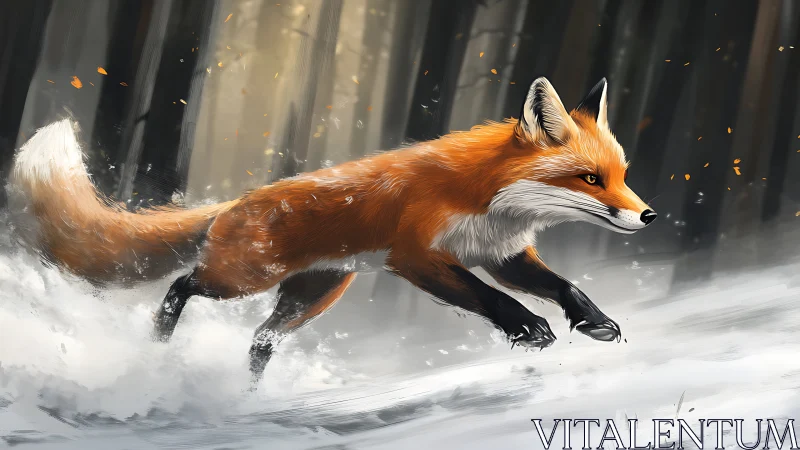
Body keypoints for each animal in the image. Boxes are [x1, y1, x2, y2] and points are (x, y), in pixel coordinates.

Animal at [7, 77, 655, 383]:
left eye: (622, 175)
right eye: (590, 178)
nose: (647, 215)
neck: (492, 200)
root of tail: (233, 203)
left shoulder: (502, 253)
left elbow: (564, 285)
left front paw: (592, 320)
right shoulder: (416, 255)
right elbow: (486, 297)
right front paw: (526, 328)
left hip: (312, 297)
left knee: (260, 340)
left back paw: (244, 396)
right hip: (241, 278)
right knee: (180, 286)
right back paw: (158, 346)